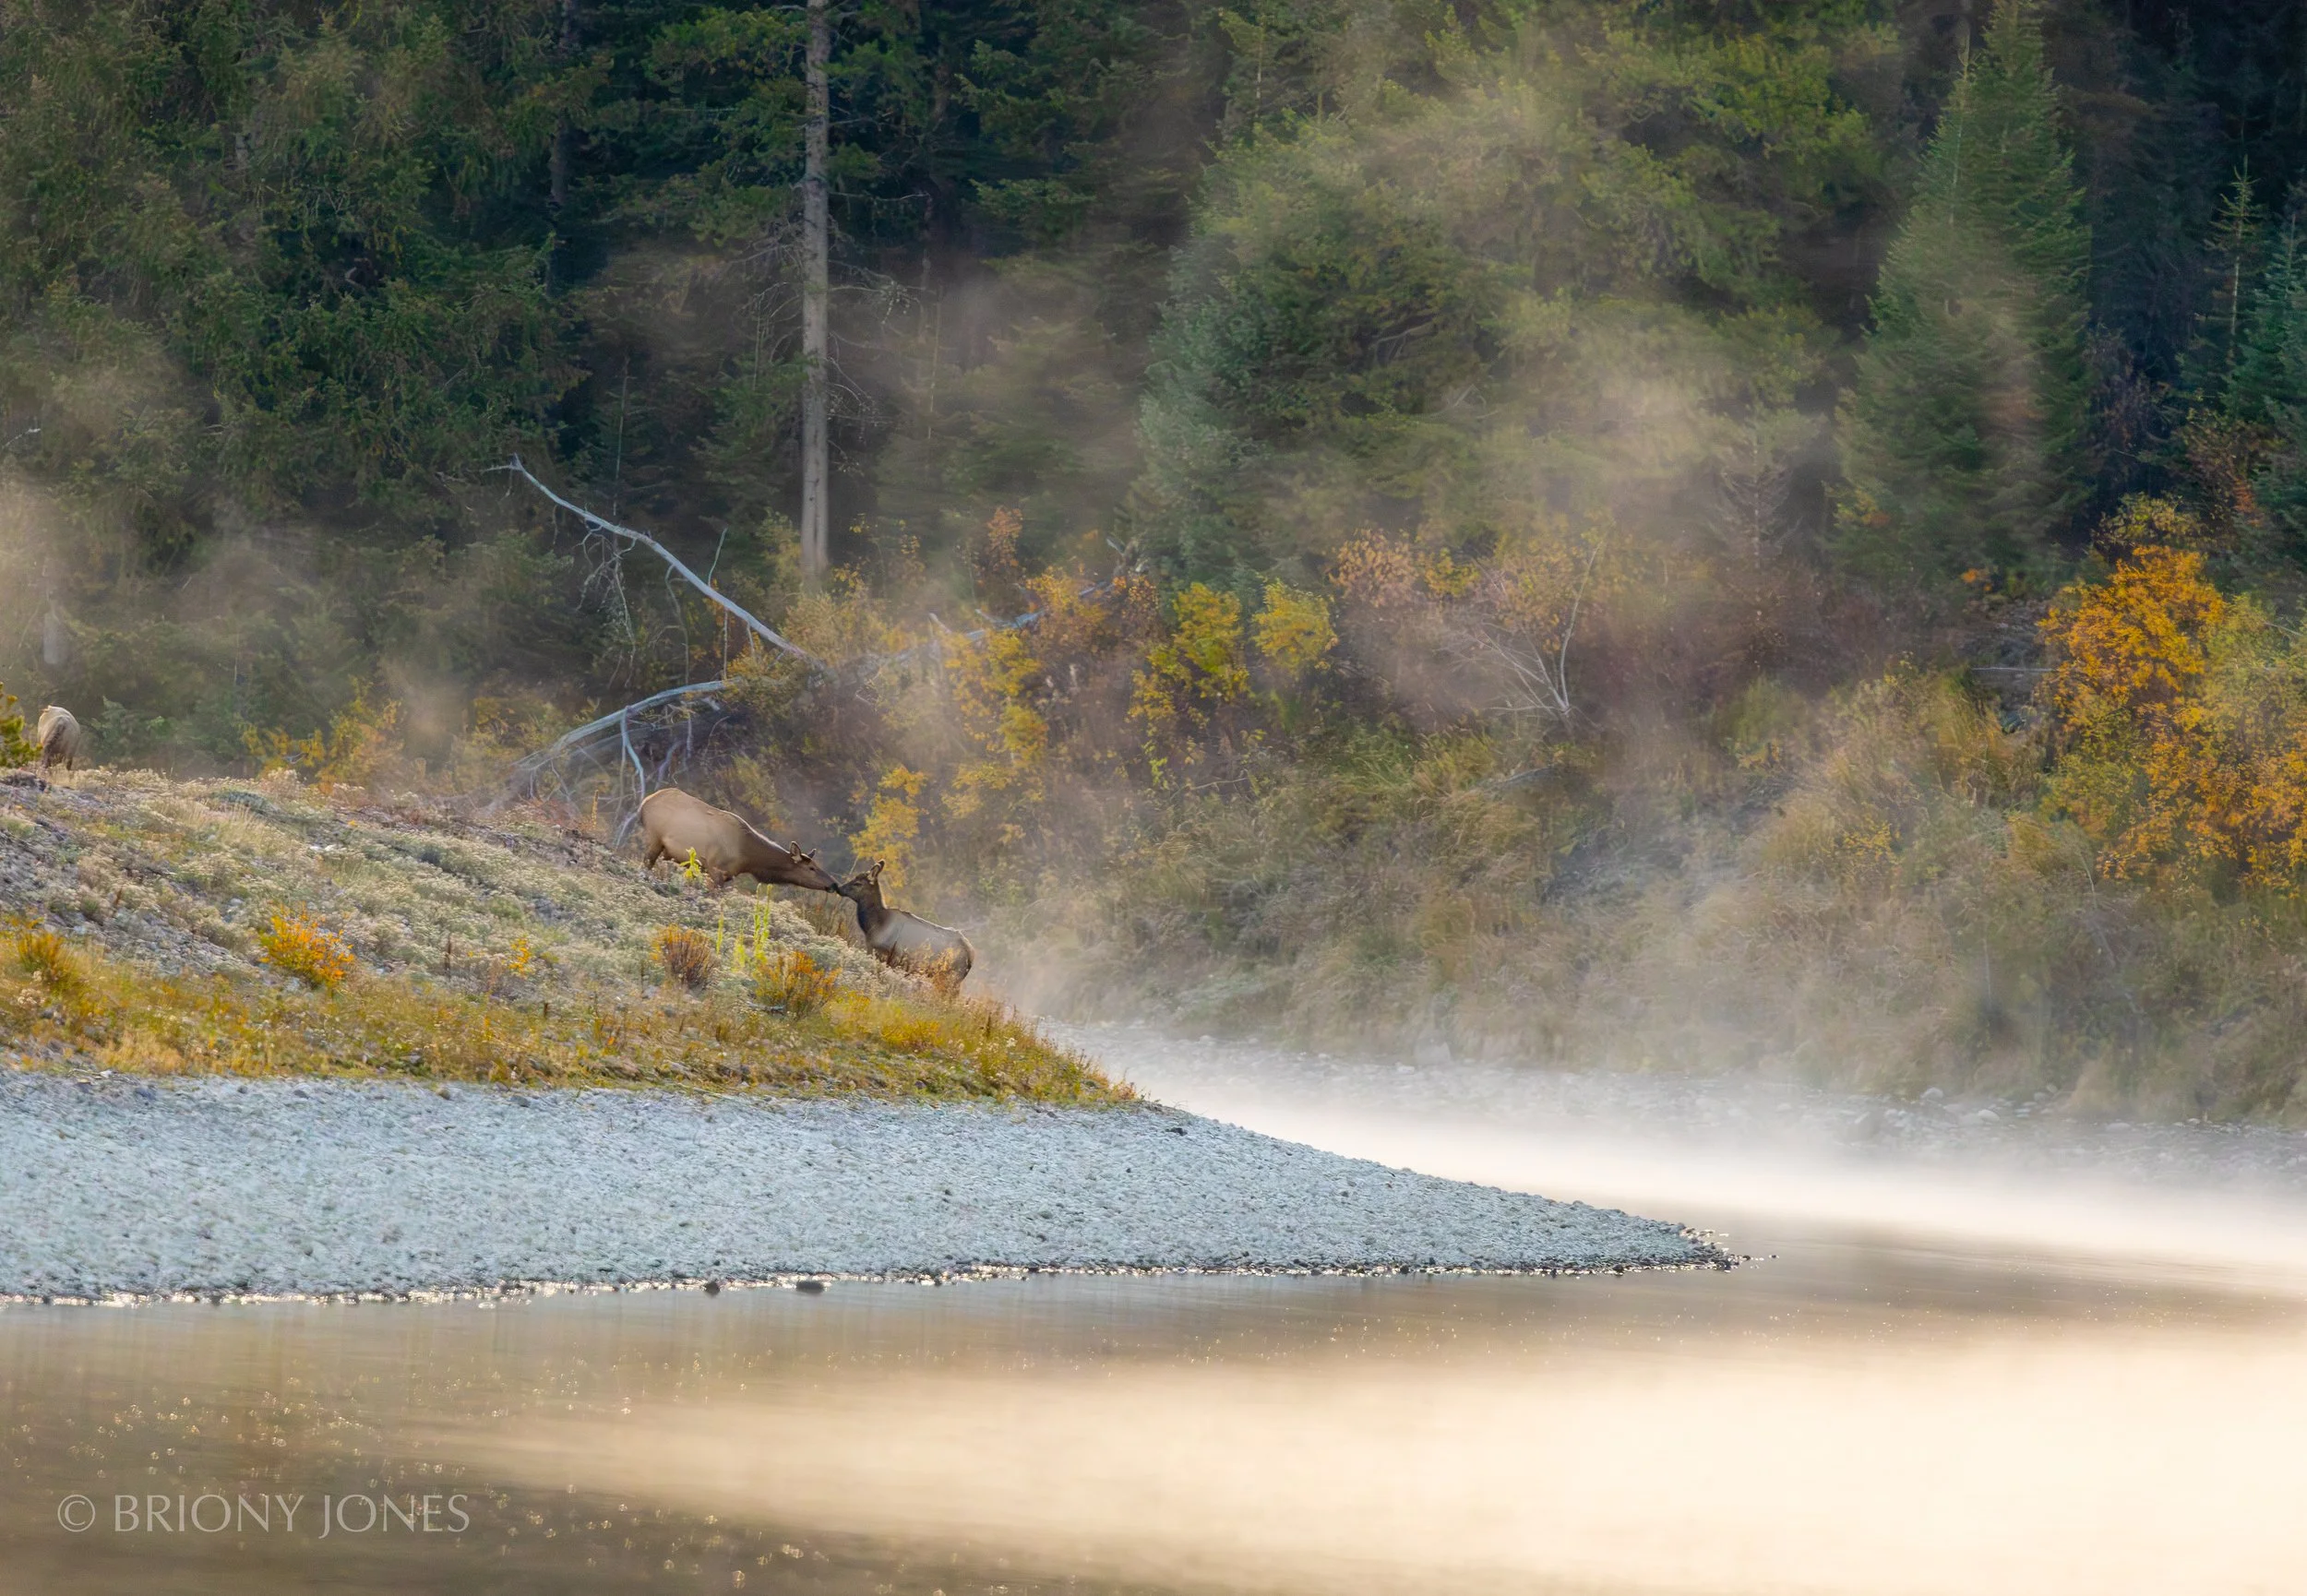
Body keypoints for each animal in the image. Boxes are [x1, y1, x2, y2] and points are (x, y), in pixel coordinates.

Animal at [635, 788, 838, 892]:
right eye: (811, 868)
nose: (834, 884)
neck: (748, 859)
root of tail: (644, 802)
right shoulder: (716, 869)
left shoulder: (724, 875)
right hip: (654, 837)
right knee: (646, 863)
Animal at [835, 859, 974, 989]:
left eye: (857, 883)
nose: (839, 888)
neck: (874, 925)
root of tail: (971, 955)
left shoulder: (886, 953)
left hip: (952, 976)